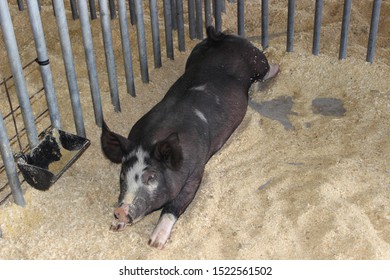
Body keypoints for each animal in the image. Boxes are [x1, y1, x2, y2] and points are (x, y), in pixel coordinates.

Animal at [100, 26, 278, 249]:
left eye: (151, 177)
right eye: (122, 176)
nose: (120, 211)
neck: (152, 138)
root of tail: (223, 37)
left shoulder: (195, 172)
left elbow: (176, 204)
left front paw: (155, 243)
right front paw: (115, 226)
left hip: (256, 59)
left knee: (266, 69)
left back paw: (277, 65)